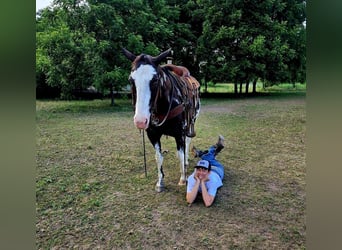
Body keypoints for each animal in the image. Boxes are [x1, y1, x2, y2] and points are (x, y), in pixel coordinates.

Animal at [122, 47, 200, 192]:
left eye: (155, 80)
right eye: (131, 79)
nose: (140, 121)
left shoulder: (179, 133)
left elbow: (181, 155)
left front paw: (183, 179)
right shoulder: (152, 134)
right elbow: (158, 157)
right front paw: (160, 182)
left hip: (191, 122)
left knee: (187, 141)